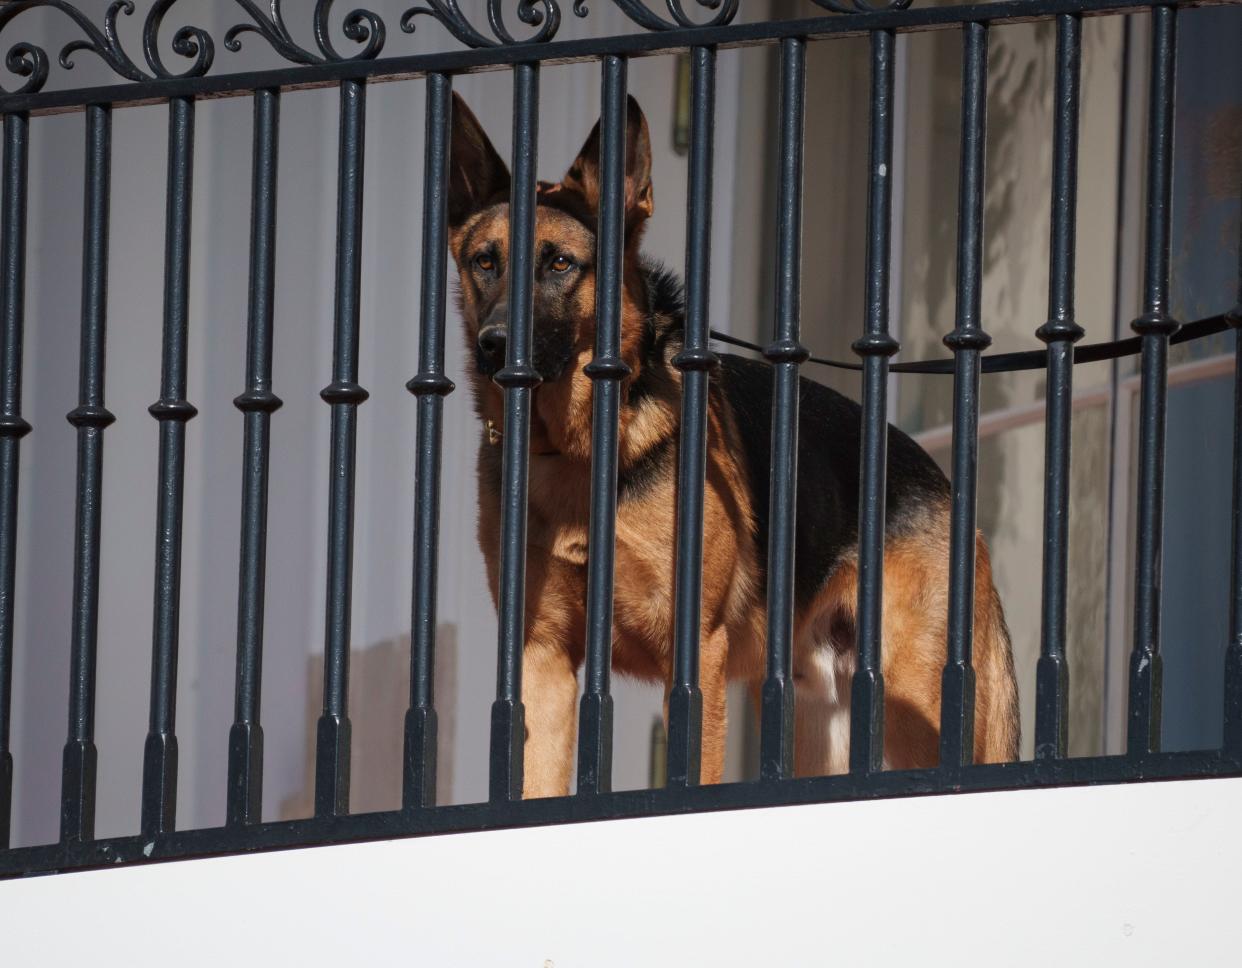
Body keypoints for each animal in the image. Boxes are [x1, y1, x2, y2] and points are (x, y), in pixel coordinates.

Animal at [449, 94, 1018, 800]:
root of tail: (947, 489)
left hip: (924, 707)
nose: (495, 347)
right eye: (485, 261)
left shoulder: (694, 654)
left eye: (559, 263)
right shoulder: (543, 661)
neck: (578, 450)